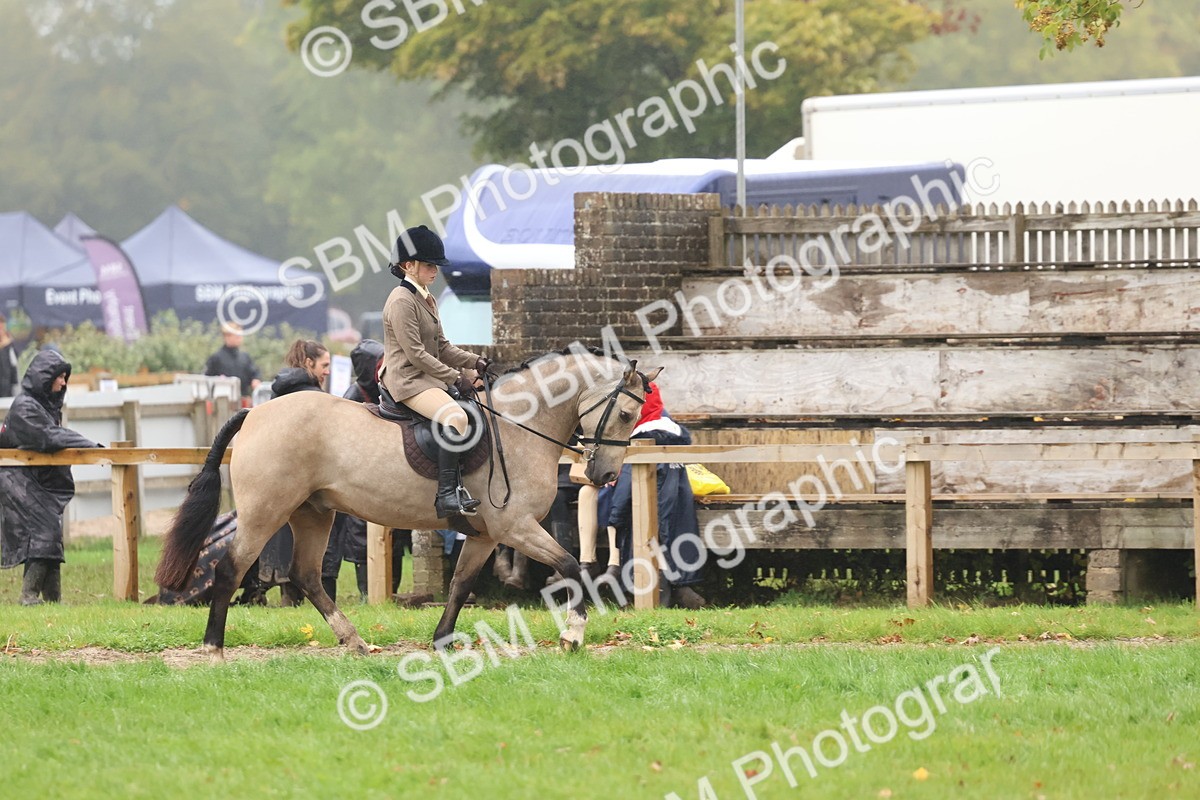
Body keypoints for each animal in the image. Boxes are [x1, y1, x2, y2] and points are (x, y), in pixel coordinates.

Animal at [155, 347, 660, 662]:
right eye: (625, 413)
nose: (604, 476)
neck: (518, 427)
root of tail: (255, 413)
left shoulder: (485, 536)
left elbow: (460, 585)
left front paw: (441, 641)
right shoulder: (515, 527)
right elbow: (572, 566)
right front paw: (573, 635)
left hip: (313, 513)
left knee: (307, 575)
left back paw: (354, 641)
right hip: (265, 513)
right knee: (231, 570)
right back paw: (214, 647)